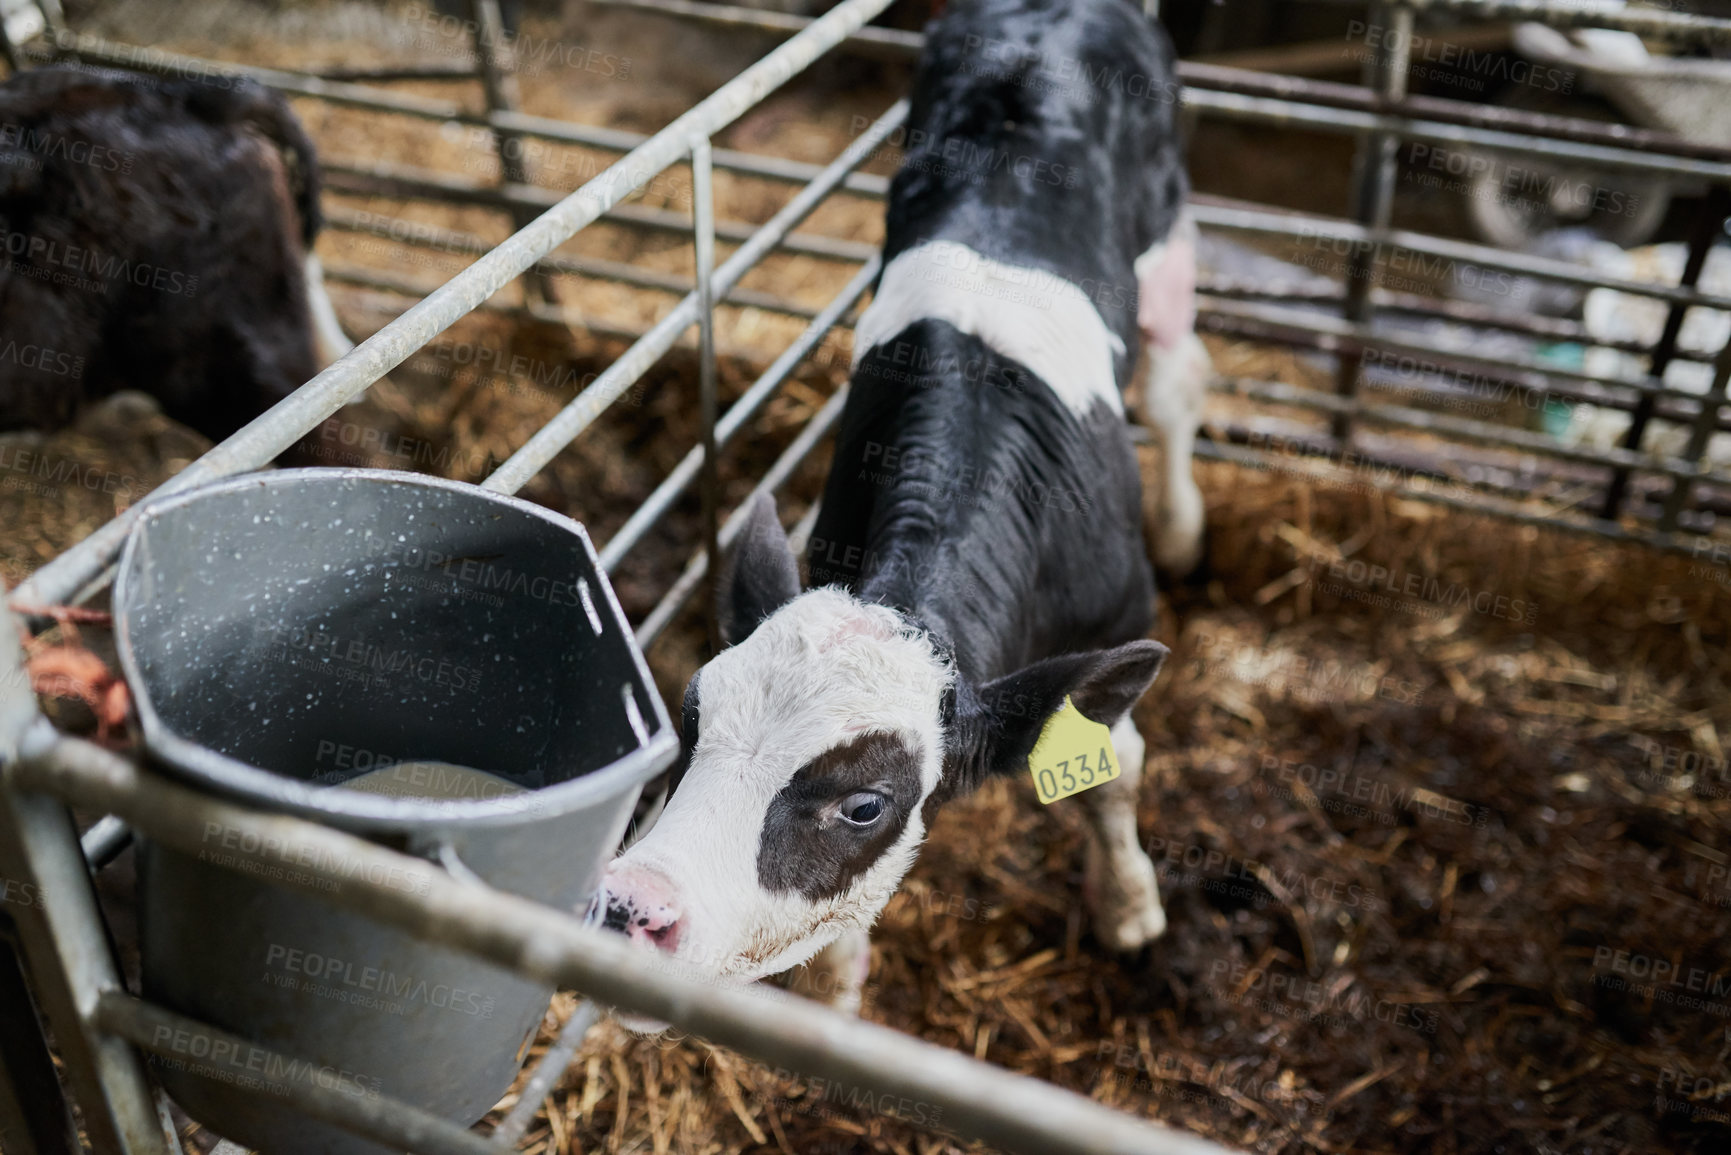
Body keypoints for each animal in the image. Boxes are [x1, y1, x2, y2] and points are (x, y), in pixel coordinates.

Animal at [602, 0, 1211, 1011]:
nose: (630, 906)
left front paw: (1130, 907)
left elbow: (1112, 776)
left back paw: (1182, 526)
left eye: (863, 803)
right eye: (689, 719)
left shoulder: (1110, 625)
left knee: (1172, 382)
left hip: (1166, 242)